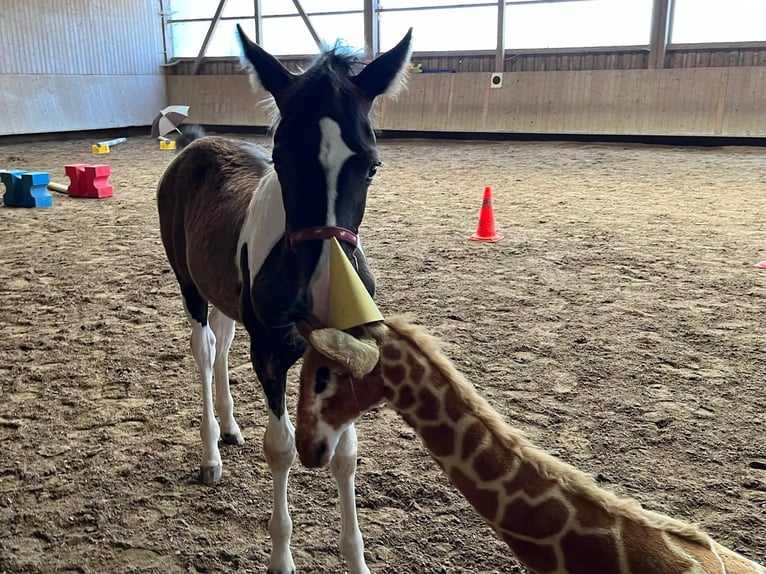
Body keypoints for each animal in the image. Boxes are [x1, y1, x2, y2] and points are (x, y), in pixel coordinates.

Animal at [156, 24, 414, 572]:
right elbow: (282, 448)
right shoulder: (270, 352)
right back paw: (211, 453)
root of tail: (196, 141)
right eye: (280, 158)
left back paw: (230, 427)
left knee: (223, 343)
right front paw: (280, 558)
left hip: (225, 296)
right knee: (204, 349)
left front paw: (356, 560)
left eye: (371, 166)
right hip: (190, 287)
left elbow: (345, 455)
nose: (323, 293)